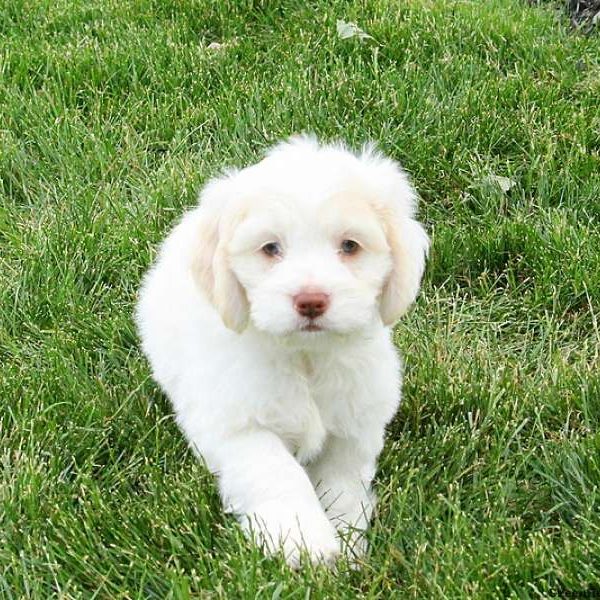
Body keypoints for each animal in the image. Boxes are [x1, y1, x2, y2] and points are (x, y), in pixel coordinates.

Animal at [136, 136, 428, 568]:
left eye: (349, 245)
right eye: (270, 248)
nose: (311, 301)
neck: (306, 357)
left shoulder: (356, 422)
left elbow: (344, 480)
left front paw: (347, 538)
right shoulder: (237, 426)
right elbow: (276, 472)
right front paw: (305, 541)